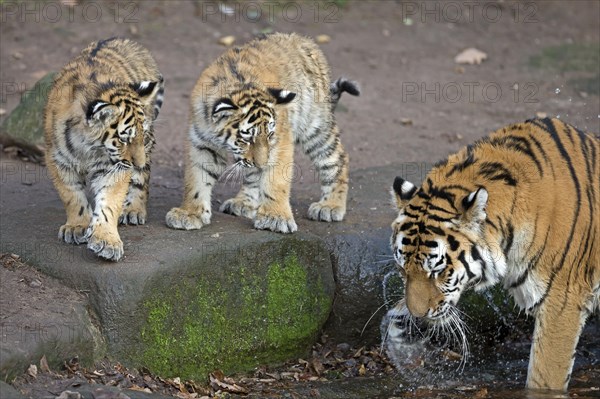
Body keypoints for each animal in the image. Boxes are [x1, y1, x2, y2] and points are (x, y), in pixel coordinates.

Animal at [45, 38, 164, 262]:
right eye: (124, 138)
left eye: (140, 135)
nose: (138, 162)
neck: (87, 148)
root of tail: (128, 41)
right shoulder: (58, 160)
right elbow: (71, 195)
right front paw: (77, 226)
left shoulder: (114, 167)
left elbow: (109, 203)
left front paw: (107, 241)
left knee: (142, 178)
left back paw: (134, 209)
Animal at [166, 34, 358, 236]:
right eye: (246, 139)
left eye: (270, 135)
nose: (262, 163)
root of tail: (304, 40)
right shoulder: (202, 144)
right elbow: (196, 179)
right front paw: (189, 213)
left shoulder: (280, 142)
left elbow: (276, 180)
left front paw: (275, 218)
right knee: (253, 175)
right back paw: (243, 202)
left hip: (315, 126)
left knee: (337, 157)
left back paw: (330, 206)